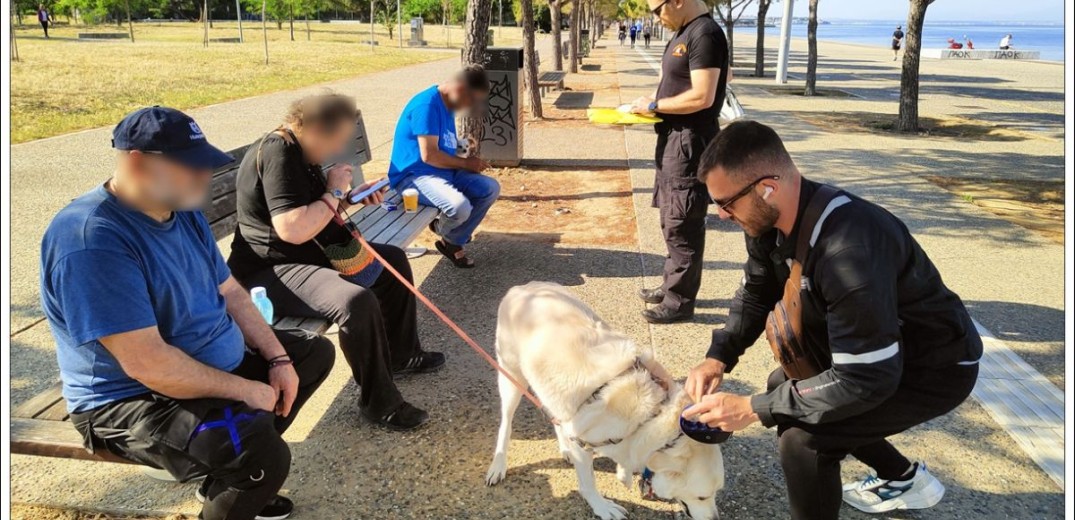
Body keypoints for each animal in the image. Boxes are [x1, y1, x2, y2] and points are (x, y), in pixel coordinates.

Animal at [485, 281, 722, 517]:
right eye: (702, 497)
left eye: (717, 491)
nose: (715, 518)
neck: (651, 415)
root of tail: (522, 287)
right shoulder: (582, 444)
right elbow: (588, 483)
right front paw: (602, 507)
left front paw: (623, 475)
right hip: (511, 377)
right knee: (506, 423)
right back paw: (498, 464)